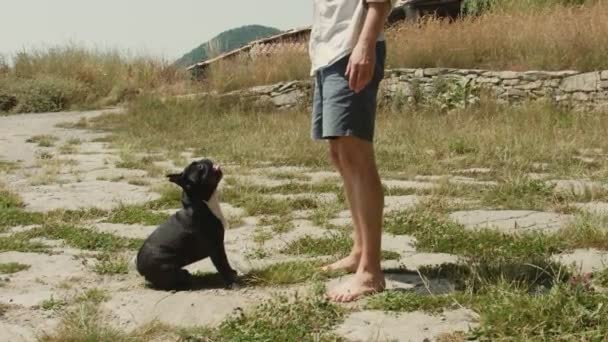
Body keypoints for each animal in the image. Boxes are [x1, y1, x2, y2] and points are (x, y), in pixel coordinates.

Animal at [135, 159, 238, 290]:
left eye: (199, 163)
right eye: (200, 168)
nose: (205, 160)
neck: (202, 201)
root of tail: (141, 271)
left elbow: (226, 264)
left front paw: (232, 273)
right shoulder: (216, 247)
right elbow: (223, 264)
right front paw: (232, 281)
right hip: (168, 269)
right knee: (176, 279)